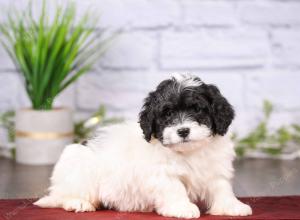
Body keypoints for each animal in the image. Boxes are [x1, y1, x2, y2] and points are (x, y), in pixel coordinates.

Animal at [34, 74, 252, 218]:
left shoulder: (215, 168)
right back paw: (78, 202)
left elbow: (222, 187)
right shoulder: (163, 173)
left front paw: (232, 206)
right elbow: (175, 188)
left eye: (198, 109)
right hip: (81, 170)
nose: (183, 131)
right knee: (68, 195)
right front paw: (182, 208)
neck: (189, 152)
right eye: (167, 114)